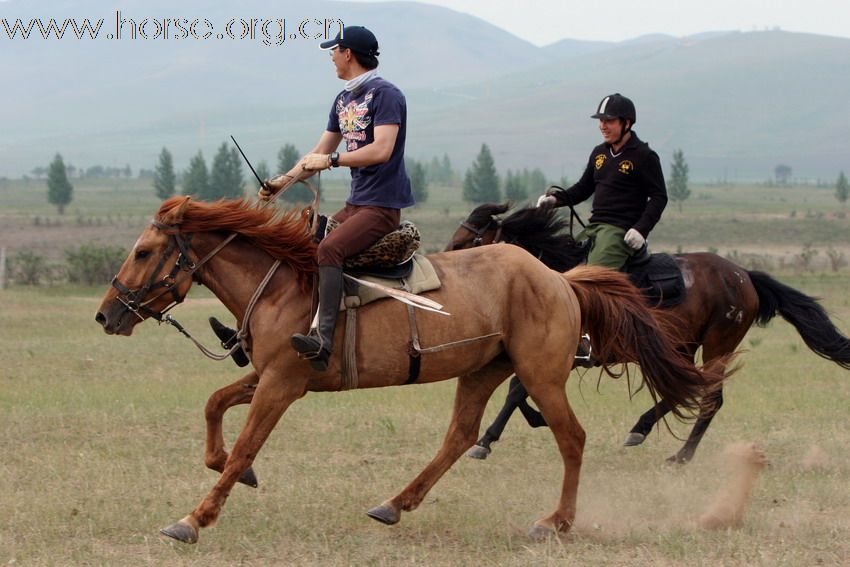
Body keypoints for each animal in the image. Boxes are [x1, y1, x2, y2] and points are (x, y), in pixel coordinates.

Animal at [97, 196, 724, 544]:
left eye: (145, 251)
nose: (106, 314)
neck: (281, 286)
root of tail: (559, 279)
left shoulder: (282, 384)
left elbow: (246, 442)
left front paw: (194, 518)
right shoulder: (271, 376)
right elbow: (215, 408)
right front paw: (233, 472)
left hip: (541, 375)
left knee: (571, 437)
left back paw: (555, 522)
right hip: (483, 370)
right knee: (460, 437)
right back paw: (395, 504)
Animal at [444, 204, 848, 466]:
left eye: (466, 240)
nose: (443, 267)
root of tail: (744, 275)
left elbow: (516, 390)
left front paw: (486, 440)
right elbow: (519, 390)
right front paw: (524, 423)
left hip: (718, 344)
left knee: (708, 396)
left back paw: (681, 455)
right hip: (681, 346)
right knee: (683, 386)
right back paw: (642, 429)